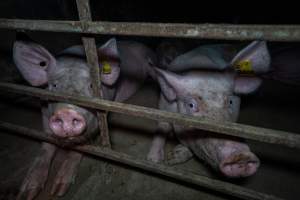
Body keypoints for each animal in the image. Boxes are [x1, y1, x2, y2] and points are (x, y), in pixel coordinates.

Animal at [12, 37, 156, 198]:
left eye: (91, 86)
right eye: (54, 85)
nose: (67, 112)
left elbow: (81, 146)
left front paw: (59, 191)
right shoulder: (44, 112)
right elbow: (46, 144)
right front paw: (26, 194)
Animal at [148, 39, 270, 177]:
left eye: (230, 101)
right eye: (191, 105)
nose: (241, 155)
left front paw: (174, 156)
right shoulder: (163, 105)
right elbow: (162, 126)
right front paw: (154, 161)